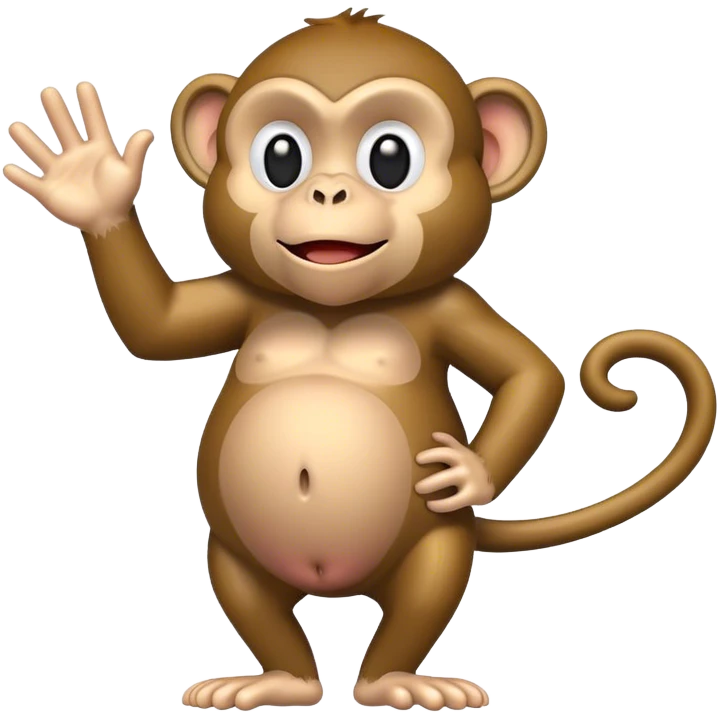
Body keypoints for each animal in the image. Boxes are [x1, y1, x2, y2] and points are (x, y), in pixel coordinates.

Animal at [3, 8, 716, 713]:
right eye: (281, 156)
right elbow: (156, 330)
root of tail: (334, 588)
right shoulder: (243, 297)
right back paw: (282, 683)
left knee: (425, 591)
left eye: (390, 157)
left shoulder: (452, 303)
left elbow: (530, 373)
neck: (334, 308)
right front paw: (92, 184)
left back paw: (394, 682)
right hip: (235, 550)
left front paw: (465, 472)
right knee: (251, 599)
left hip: (436, 544)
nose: (328, 193)